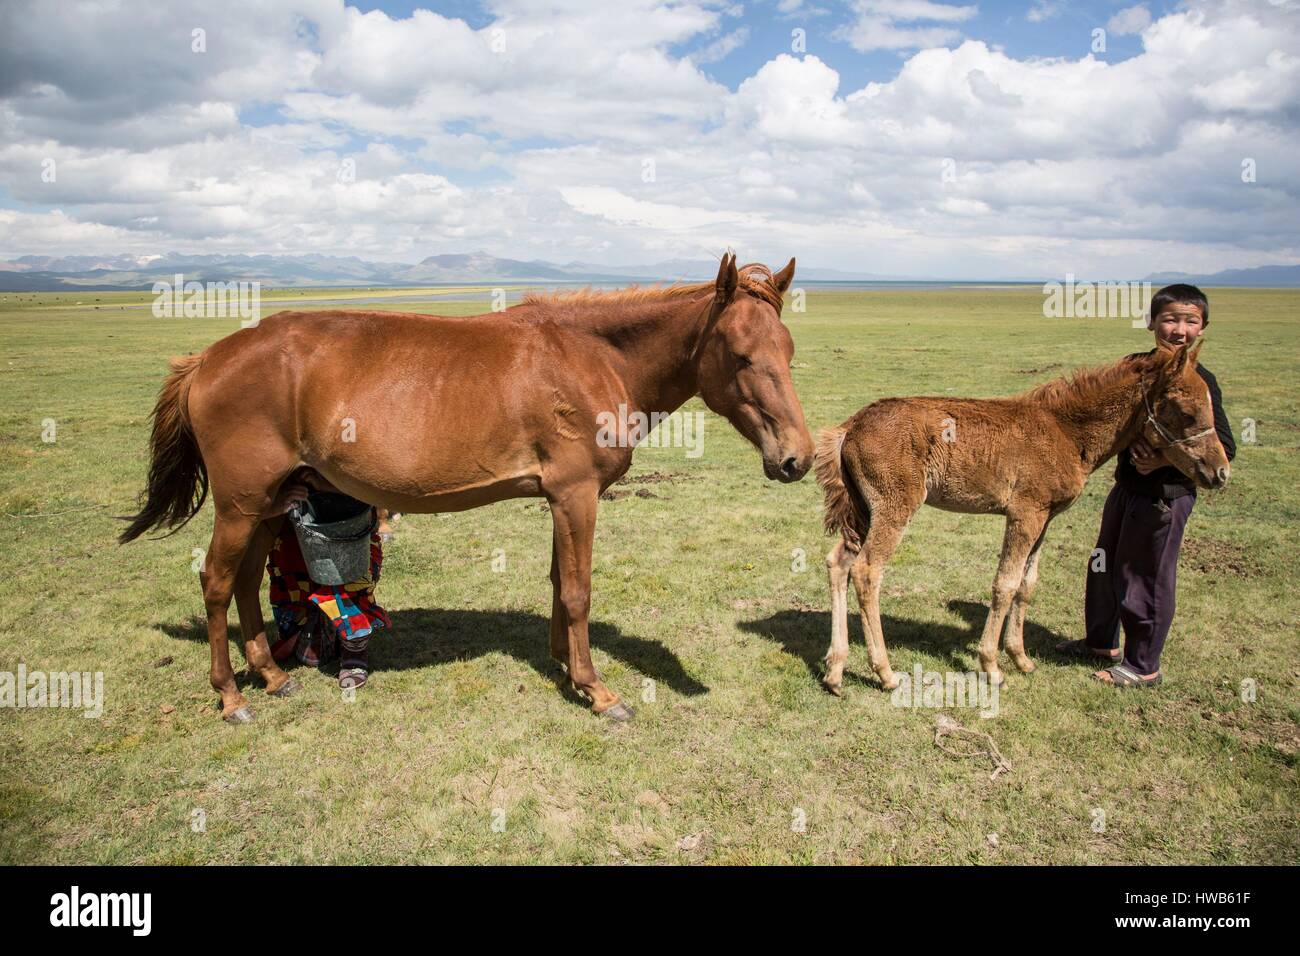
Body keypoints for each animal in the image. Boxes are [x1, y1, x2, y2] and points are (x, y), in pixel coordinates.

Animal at [122, 257, 811, 723]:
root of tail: (207, 359)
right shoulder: (577, 494)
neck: (591, 357)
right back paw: (231, 695)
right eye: (740, 354)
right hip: (241, 505)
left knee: (243, 582)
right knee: (216, 582)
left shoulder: (560, 497)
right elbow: (579, 590)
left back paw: (269, 674)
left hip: (271, 503)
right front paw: (596, 689)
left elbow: (559, 583)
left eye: (787, 350)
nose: (797, 458)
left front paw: (564, 664)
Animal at [816, 340, 1222, 691]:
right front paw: (991, 666)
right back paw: (885, 673)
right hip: (894, 506)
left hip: (863, 510)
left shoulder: (1045, 518)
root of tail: (849, 427)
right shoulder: (1025, 513)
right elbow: (1006, 584)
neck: (1066, 432)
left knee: (838, 562)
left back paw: (835, 670)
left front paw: (1021, 658)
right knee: (867, 571)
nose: (1219, 471)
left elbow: (1027, 585)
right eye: (1187, 412)